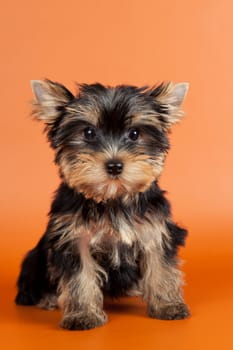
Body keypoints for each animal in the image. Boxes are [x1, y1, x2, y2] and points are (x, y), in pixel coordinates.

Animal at [15, 79, 189, 330]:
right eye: (88, 132)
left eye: (134, 134)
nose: (114, 165)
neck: (112, 200)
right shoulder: (74, 237)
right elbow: (80, 277)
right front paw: (83, 315)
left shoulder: (154, 230)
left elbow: (161, 267)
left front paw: (168, 305)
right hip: (33, 260)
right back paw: (47, 298)